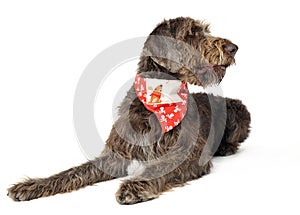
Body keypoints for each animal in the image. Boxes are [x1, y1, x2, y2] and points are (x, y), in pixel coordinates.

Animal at [7, 17, 251, 205]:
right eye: (192, 34)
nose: (233, 48)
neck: (156, 103)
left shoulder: (186, 155)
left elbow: (160, 167)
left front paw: (135, 186)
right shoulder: (115, 155)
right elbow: (72, 172)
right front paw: (32, 185)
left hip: (239, 110)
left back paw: (225, 148)